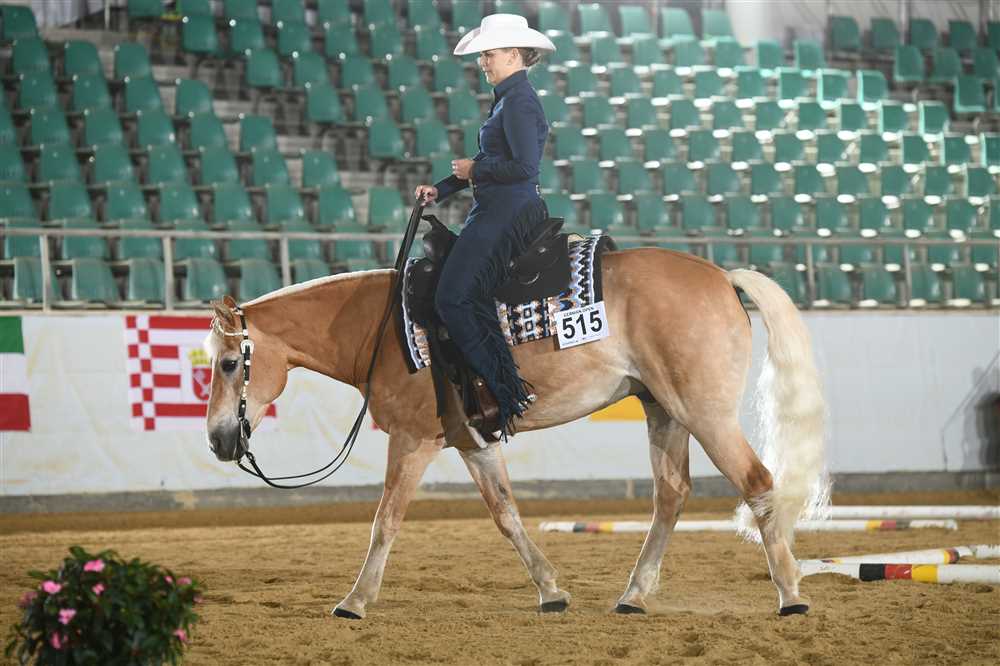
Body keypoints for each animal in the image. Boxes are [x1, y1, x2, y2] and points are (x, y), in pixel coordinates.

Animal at [204, 247, 827, 619]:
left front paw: (355, 600)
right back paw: (633, 595)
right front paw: (551, 590)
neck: (383, 330)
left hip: (705, 413)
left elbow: (386, 521)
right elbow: (506, 515)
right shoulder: (472, 443)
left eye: (229, 363)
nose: (217, 439)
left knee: (758, 481)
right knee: (671, 496)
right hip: (665, 411)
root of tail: (722, 276)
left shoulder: (411, 440)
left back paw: (791, 593)